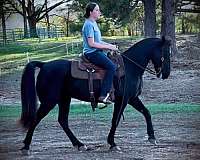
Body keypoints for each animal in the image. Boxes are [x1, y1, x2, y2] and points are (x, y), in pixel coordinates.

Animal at [19, 37, 170, 151]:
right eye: (165, 52)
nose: (166, 74)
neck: (130, 67)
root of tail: (44, 65)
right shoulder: (122, 100)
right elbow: (115, 120)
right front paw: (112, 143)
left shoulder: (132, 98)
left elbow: (146, 112)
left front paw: (152, 137)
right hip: (49, 101)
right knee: (36, 119)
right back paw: (26, 145)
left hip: (64, 99)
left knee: (63, 121)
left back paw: (79, 144)